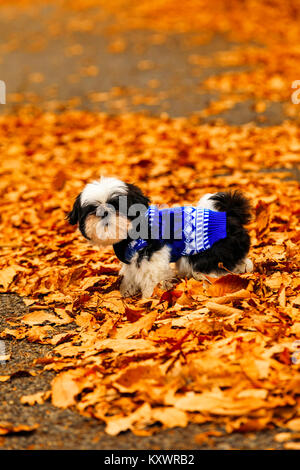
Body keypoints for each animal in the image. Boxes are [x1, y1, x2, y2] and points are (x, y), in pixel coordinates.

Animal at [68, 176, 253, 298]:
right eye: (92, 208)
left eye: (117, 205)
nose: (104, 212)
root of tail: (229, 215)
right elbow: (130, 273)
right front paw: (127, 290)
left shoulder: (152, 253)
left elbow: (151, 275)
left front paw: (150, 296)